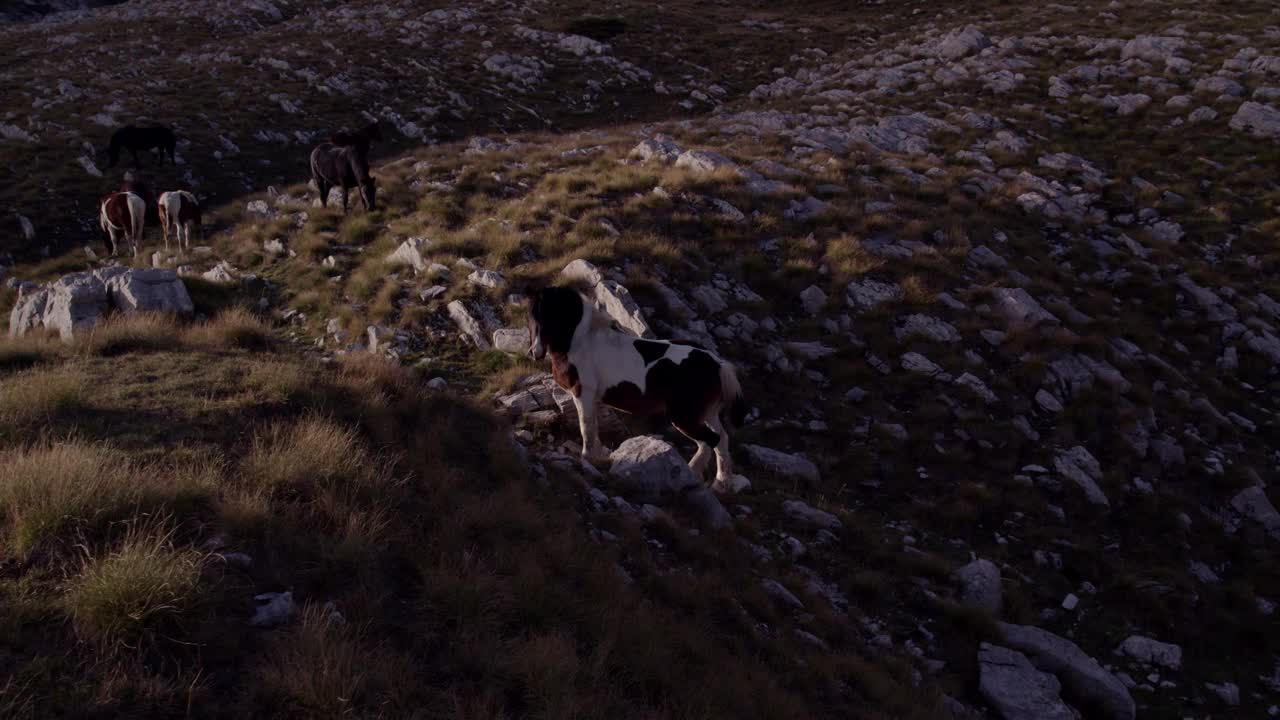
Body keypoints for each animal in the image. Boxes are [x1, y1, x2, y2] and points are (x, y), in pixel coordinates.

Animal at [527, 285, 747, 486]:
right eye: (531, 317)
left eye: (547, 315)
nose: (534, 352)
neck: (581, 341)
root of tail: (718, 364)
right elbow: (593, 427)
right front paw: (600, 456)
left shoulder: (583, 394)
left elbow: (586, 427)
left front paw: (588, 458)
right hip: (707, 413)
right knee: (722, 439)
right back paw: (721, 483)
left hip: (685, 417)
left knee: (710, 440)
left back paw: (693, 473)